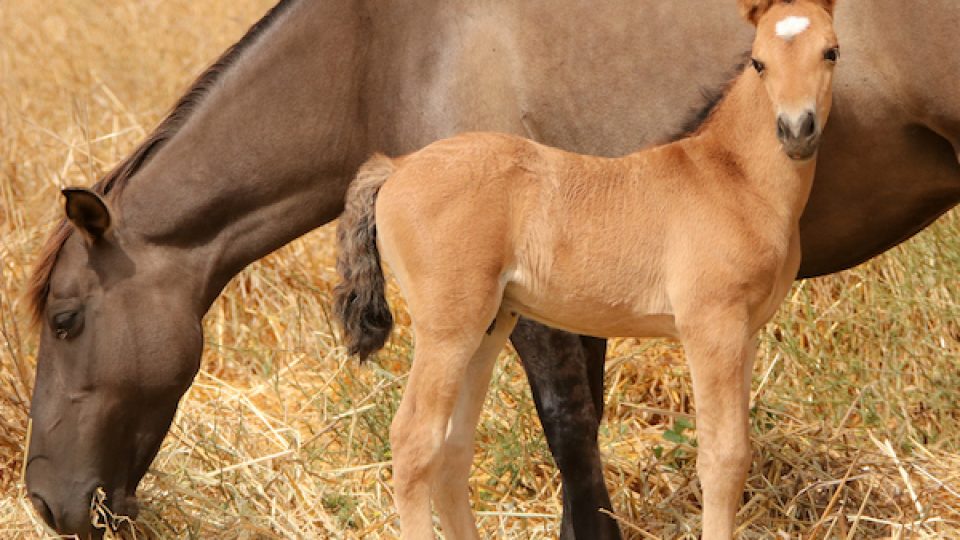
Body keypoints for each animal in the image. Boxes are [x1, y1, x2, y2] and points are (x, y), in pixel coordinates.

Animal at [23, 0, 959, 537]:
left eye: (66, 318)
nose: (45, 503)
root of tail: (393, 172)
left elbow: (597, 442)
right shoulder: (564, 314)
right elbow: (576, 439)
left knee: (428, 446)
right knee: (426, 445)